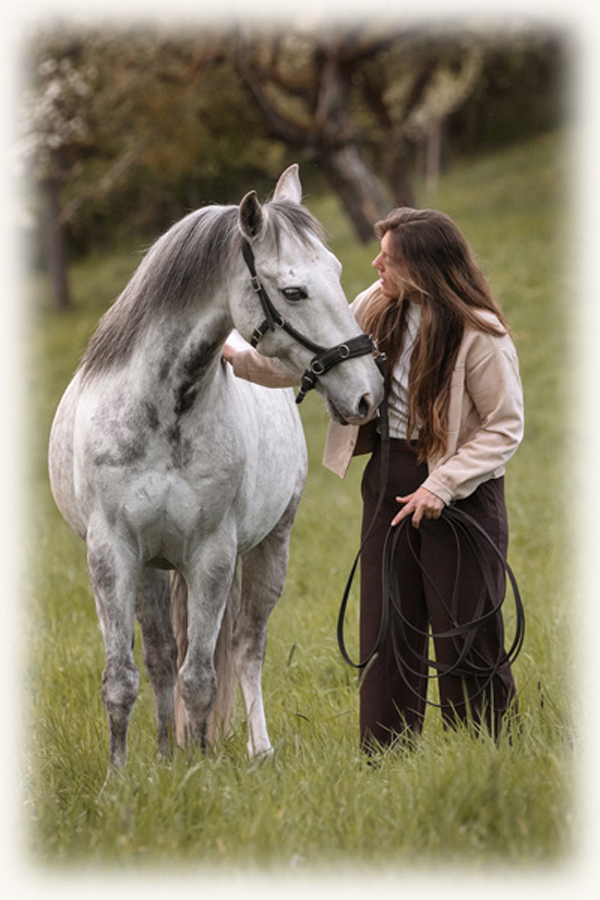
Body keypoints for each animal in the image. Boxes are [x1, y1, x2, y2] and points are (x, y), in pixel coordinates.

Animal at [48, 165, 384, 768]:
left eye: (338, 271)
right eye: (293, 290)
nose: (368, 393)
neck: (164, 412)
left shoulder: (212, 555)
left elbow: (201, 677)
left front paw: (199, 767)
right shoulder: (112, 554)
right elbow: (123, 678)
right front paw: (123, 776)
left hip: (270, 547)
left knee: (246, 648)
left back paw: (257, 748)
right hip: (153, 567)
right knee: (161, 657)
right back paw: (164, 752)